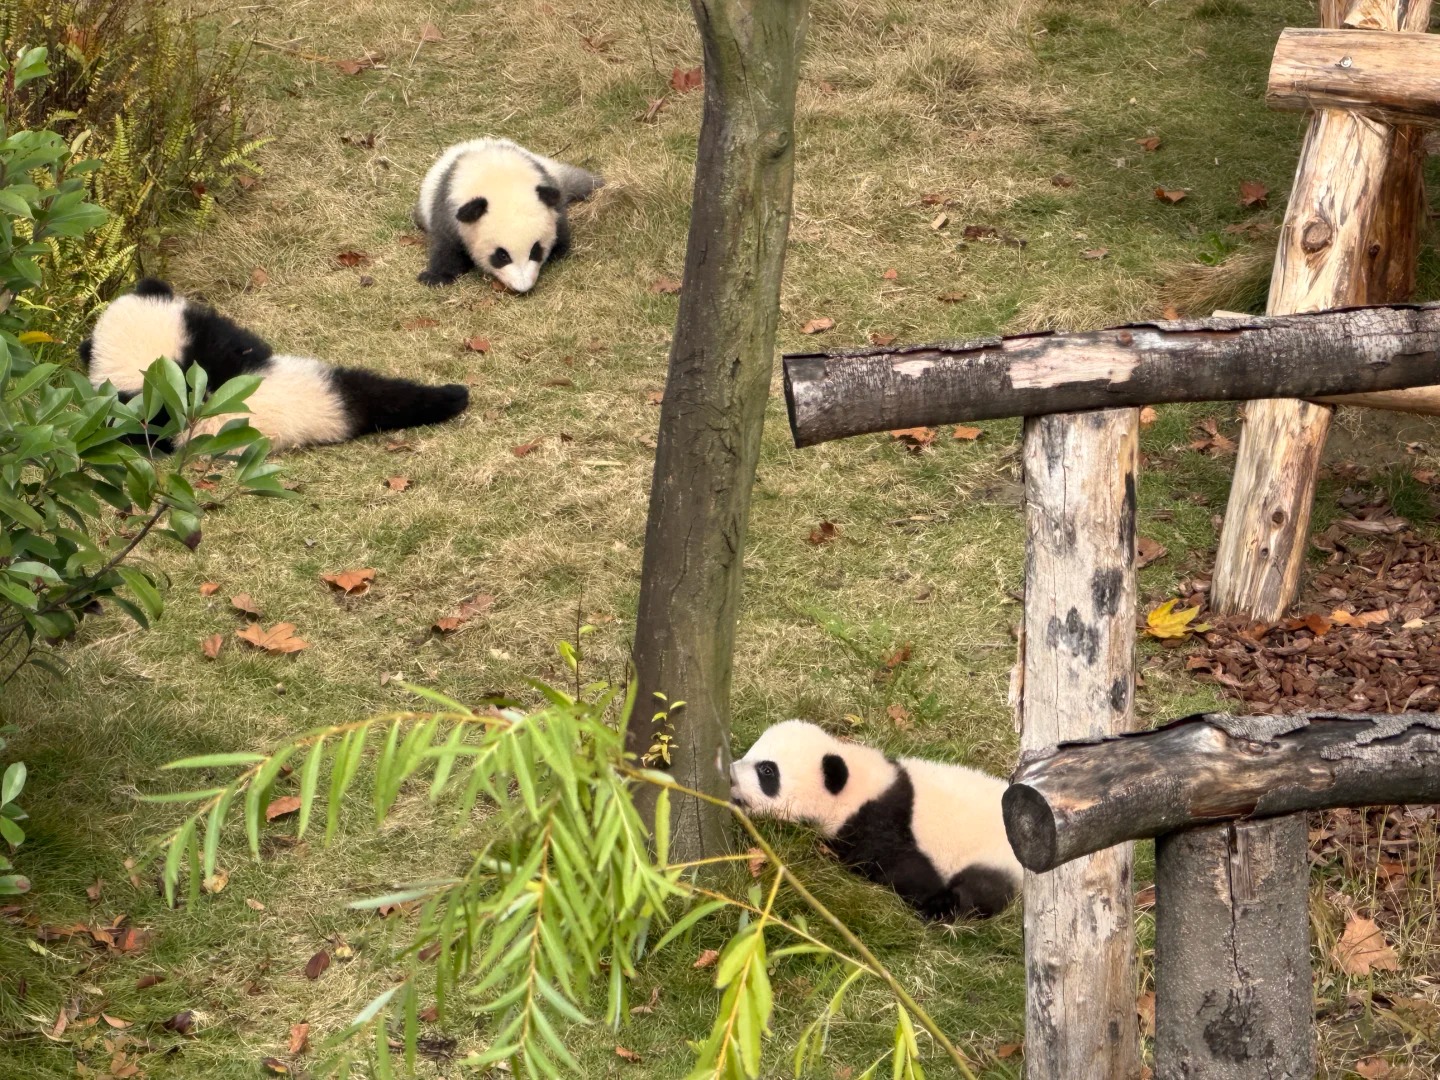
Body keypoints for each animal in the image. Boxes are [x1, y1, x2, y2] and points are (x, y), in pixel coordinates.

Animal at [414, 138, 603, 292]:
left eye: (535, 250)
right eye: (502, 255)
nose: (523, 287)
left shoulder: (551, 198)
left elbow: (561, 228)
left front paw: (558, 251)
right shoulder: (449, 208)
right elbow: (446, 245)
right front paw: (435, 277)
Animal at [729, 720, 1022, 922]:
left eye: (767, 770)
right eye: (747, 754)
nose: (729, 775)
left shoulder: (881, 820)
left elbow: (900, 865)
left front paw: (931, 901)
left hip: (997, 855)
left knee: (982, 890)